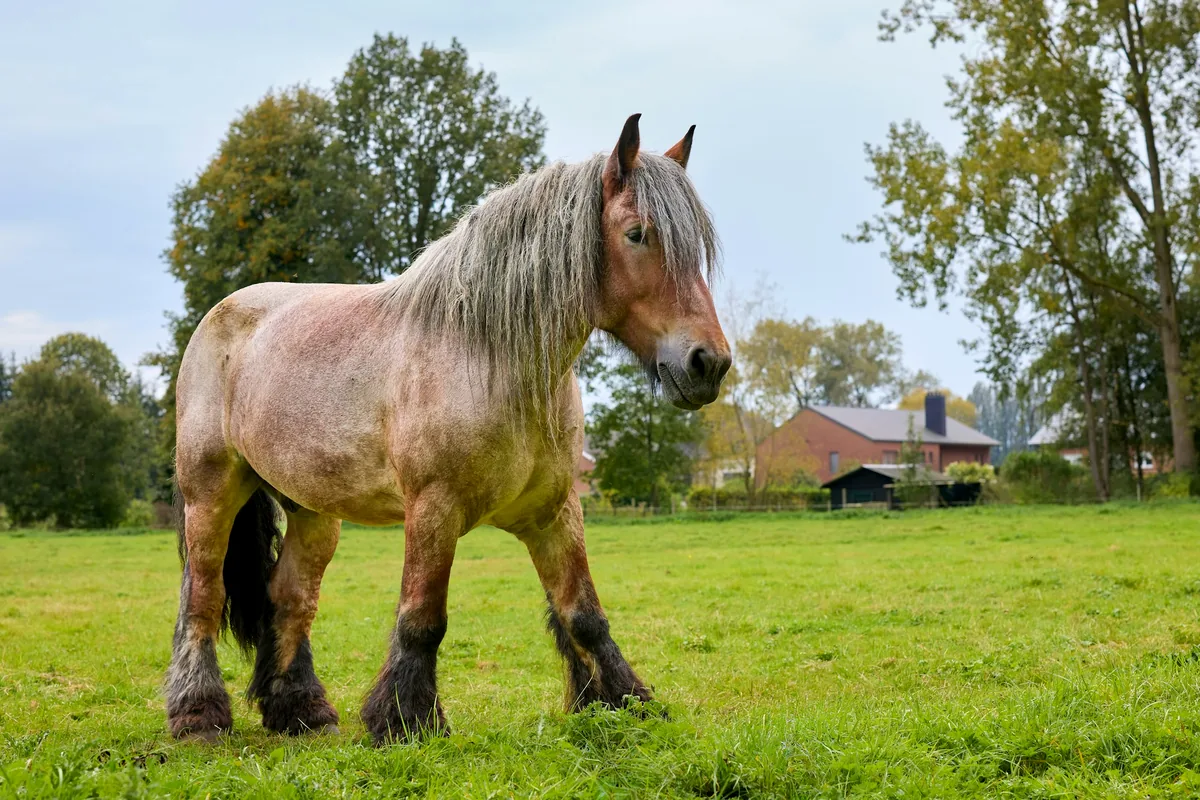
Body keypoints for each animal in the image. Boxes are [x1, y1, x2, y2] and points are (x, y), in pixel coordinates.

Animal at [166, 113, 732, 744]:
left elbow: (583, 613)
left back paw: (301, 711)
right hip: (212, 494)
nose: (707, 364)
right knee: (202, 597)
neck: (488, 357)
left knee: (290, 598)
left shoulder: (555, 511)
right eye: (637, 234)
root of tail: (220, 316)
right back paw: (198, 715)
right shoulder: (433, 509)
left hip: (313, 511)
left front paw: (623, 703)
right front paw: (404, 720)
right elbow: (422, 618)